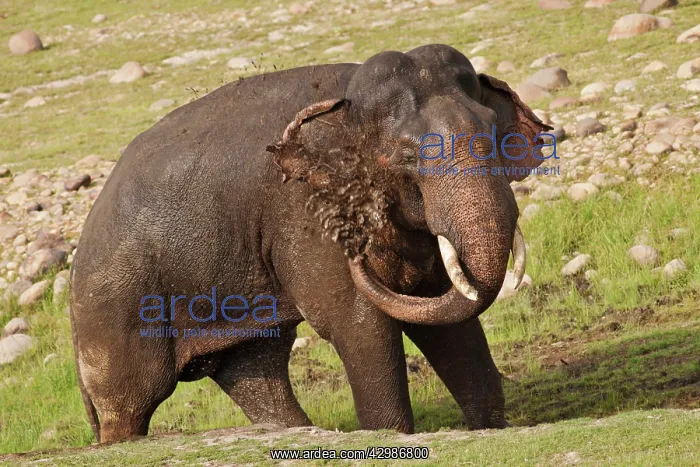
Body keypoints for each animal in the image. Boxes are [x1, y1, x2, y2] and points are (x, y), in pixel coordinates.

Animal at [69, 43, 552, 444]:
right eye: (406, 155)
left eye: (494, 131)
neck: (343, 104)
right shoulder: (306, 216)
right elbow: (358, 325)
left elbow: (448, 319)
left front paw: (488, 429)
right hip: (114, 310)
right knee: (130, 404)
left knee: (254, 369)